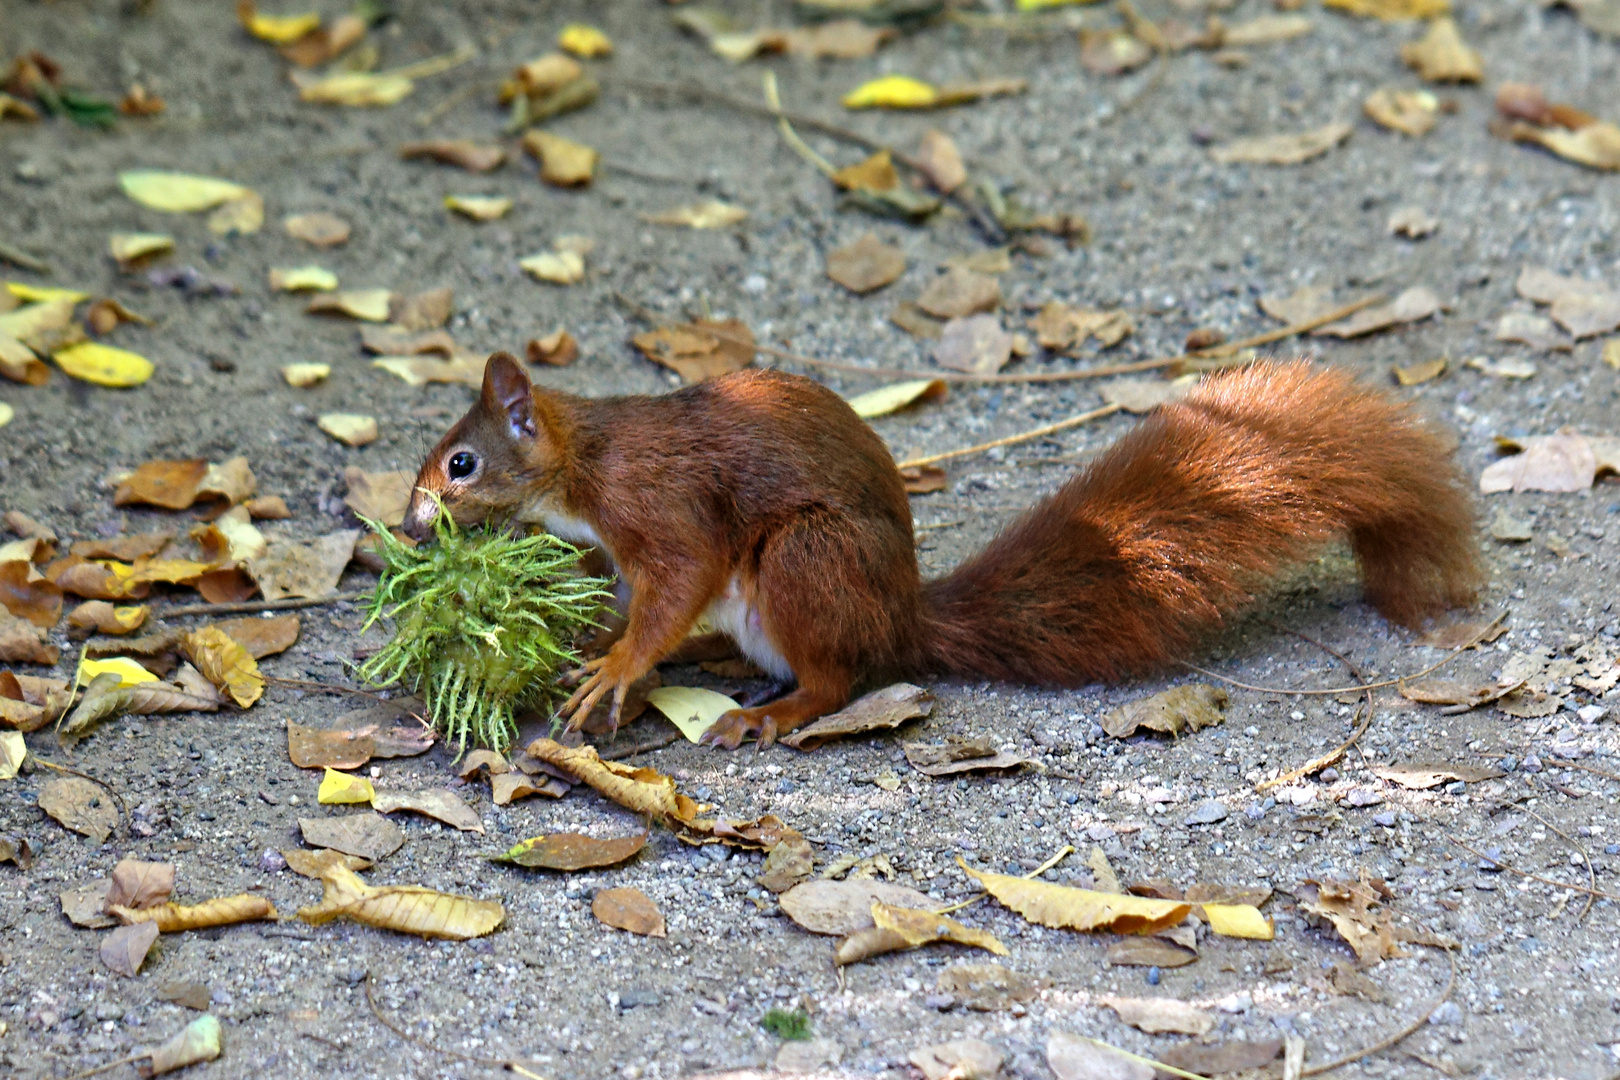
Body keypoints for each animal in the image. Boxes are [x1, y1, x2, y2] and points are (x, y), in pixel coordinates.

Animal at [401, 354, 1483, 751]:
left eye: (461, 462)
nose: (411, 526)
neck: (584, 460)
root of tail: (903, 618)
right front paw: (605, 643)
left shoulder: (663, 509)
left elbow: (677, 580)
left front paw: (619, 663)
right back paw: (715, 661)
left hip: (808, 561)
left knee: (836, 677)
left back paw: (776, 709)